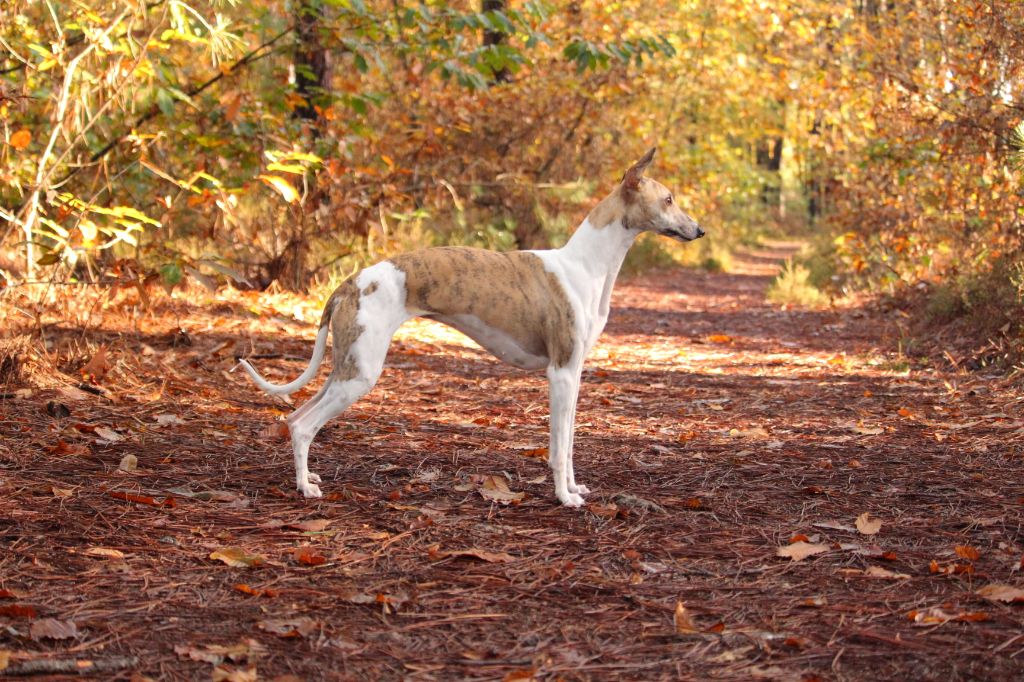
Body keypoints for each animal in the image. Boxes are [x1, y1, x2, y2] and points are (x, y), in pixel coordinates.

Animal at [239, 148, 704, 503]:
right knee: (303, 425)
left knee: (296, 416)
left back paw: (307, 477)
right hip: (361, 373)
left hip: (346, 367)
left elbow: (570, 443)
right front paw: (564, 497)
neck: (586, 265)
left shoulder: (574, 374)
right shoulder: (561, 374)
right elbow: (559, 448)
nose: (699, 230)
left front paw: (575, 489)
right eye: (668, 199)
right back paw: (305, 489)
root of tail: (349, 283)